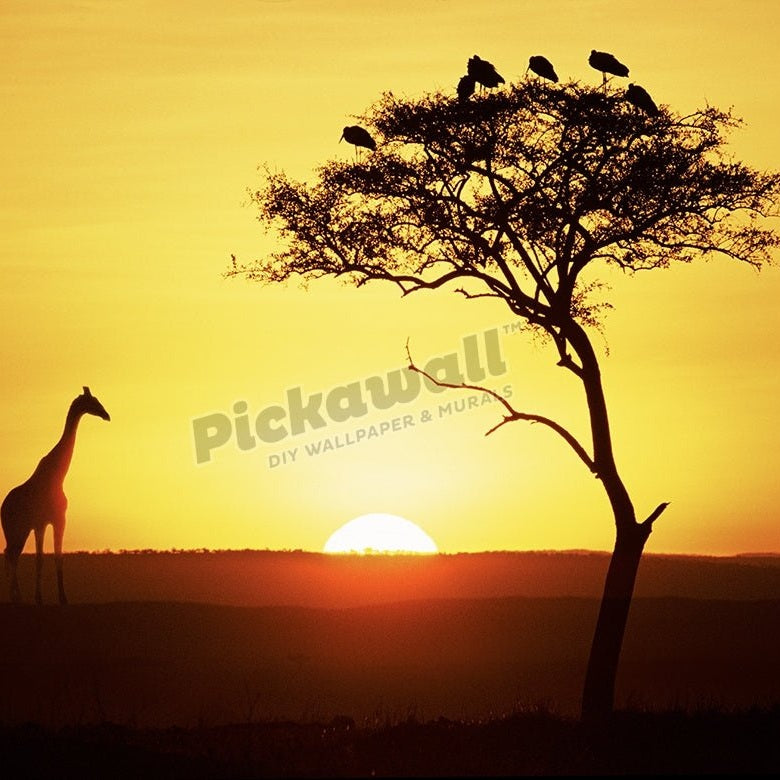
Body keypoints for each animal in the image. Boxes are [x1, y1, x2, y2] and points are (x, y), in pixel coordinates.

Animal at [1, 386, 110, 604]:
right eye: (93, 401)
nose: (107, 415)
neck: (57, 476)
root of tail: (2, 506)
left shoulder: (52, 521)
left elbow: (54, 557)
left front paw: (56, 597)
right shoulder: (45, 522)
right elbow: (42, 558)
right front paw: (44, 598)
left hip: (20, 529)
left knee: (11, 554)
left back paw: (16, 597)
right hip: (14, 528)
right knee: (11, 555)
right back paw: (15, 597)